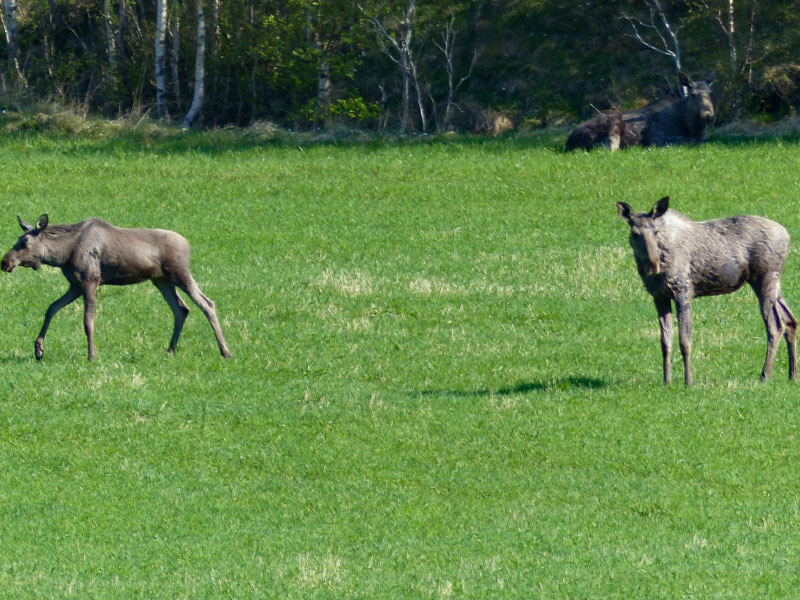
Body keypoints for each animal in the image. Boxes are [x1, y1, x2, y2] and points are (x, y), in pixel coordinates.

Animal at [3, 218, 233, 364]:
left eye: (24, 242)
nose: (4, 262)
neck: (62, 255)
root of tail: (188, 244)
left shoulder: (90, 281)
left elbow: (88, 321)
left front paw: (92, 356)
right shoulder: (74, 286)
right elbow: (51, 308)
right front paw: (38, 349)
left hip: (180, 273)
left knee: (207, 303)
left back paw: (225, 351)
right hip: (161, 280)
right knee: (181, 309)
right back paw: (170, 350)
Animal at [564, 72, 716, 150]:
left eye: (710, 93)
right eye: (693, 94)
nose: (708, 114)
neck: (691, 125)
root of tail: (568, 143)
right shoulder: (658, 137)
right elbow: (690, 141)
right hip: (613, 120)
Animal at [620, 197, 792, 384]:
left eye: (656, 231)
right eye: (635, 233)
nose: (653, 266)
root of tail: (787, 235)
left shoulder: (683, 291)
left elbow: (685, 341)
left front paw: (688, 382)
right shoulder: (659, 296)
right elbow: (665, 342)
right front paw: (667, 381)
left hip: (765, 279)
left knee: (776, 326)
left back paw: (764, 376)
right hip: (774, 285)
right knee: (791, 321)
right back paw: (792, 375)